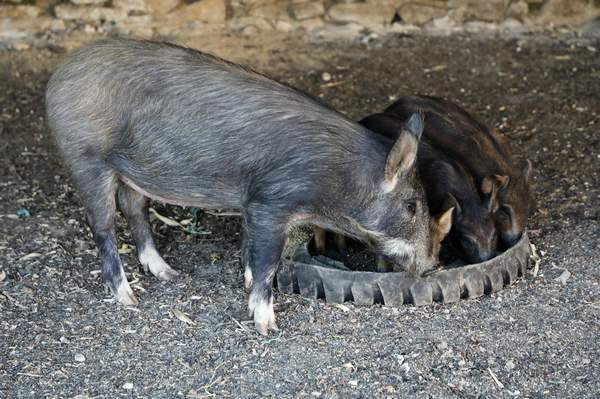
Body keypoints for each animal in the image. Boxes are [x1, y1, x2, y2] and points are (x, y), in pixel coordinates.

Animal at [45, 39, 432, 334]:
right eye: (412, 206)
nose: (430, 266)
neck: (336, 179)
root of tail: (58, 75)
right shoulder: (270, 202)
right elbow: (267, 262)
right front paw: (268, 328)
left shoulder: (253, 206)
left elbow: (249, 251)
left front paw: (245, 285)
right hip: (86, 160)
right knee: (103, 227)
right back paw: (130, 299)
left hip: (134, 173)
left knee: (135, 210)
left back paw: (169, 274)